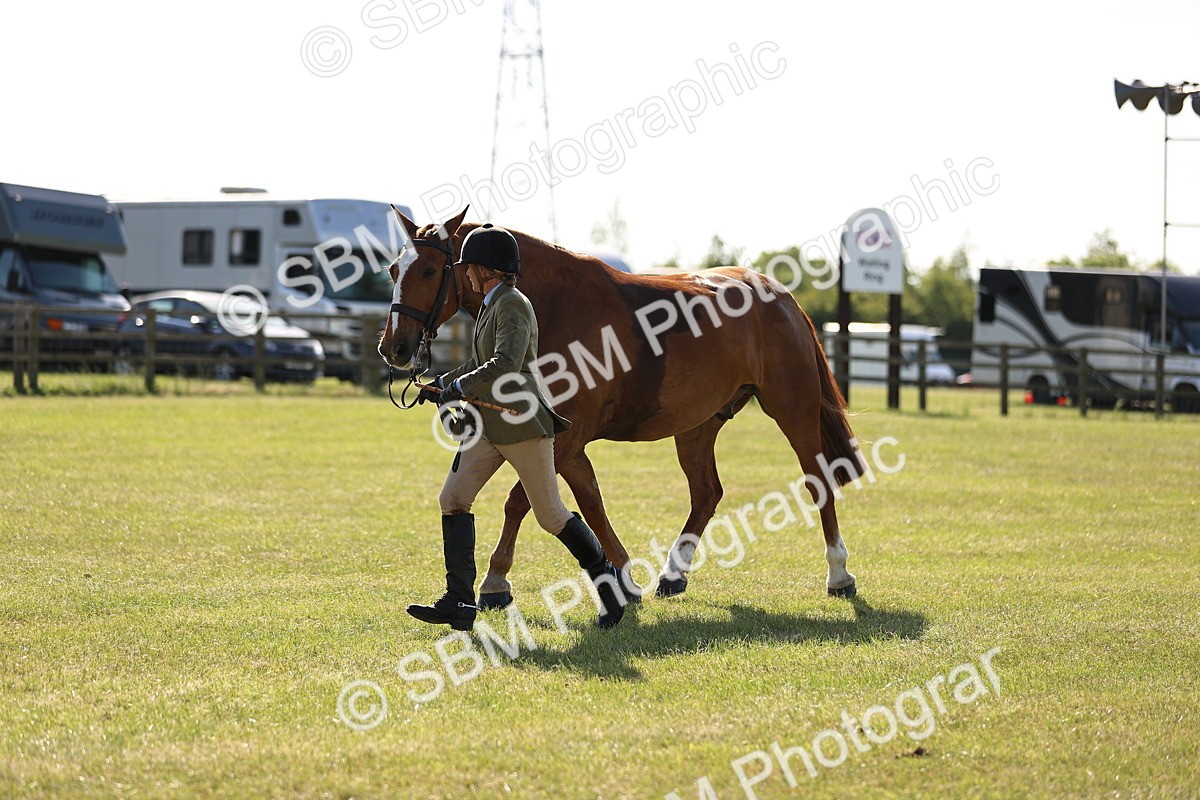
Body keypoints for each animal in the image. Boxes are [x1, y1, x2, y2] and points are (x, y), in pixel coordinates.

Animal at [379, 207, 865, 608]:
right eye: (393, 269)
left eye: (428, 270)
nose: (394, 348)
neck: (553, 306)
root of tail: (780, 295)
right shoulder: (568, 442)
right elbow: (589, 504)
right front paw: (623, 579)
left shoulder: (564, 435)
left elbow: (522, 502)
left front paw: (496, 582)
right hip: (698, 425)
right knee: (706, 493)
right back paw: (673, 574)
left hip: (792, 409)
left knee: (818, 479)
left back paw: (839, 573)